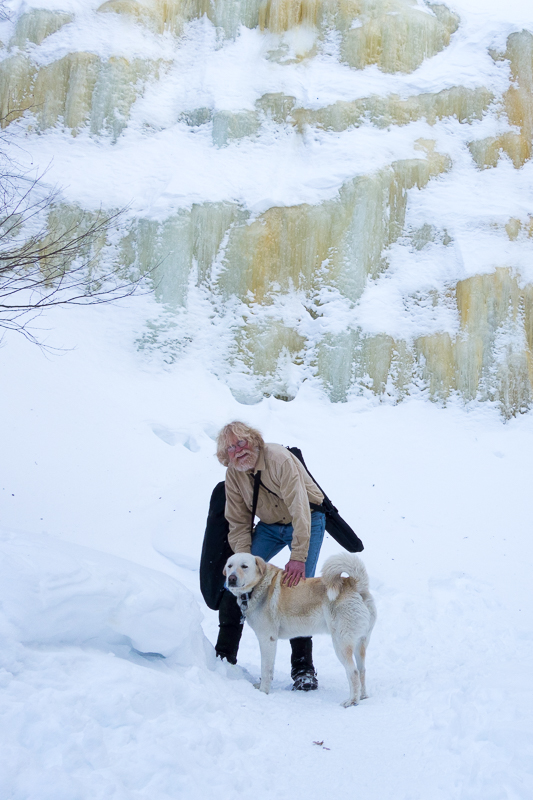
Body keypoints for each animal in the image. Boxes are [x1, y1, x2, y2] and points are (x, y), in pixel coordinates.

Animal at [222, 552, 376, 708]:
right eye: (229, 566)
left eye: (244, 566)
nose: (231, 579)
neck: (259, 586)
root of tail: (354, 583)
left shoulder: (267, 639)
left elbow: (266, 670)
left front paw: (263, 692)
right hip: (360, 643)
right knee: (362, 670)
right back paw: (362, 696)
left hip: (341, 644)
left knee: (354, 672)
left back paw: (352, 701)